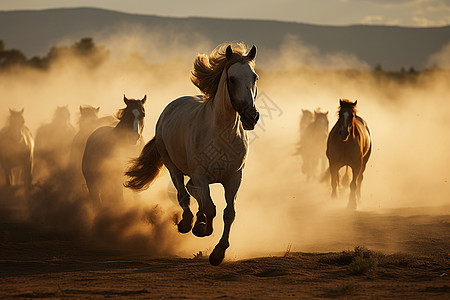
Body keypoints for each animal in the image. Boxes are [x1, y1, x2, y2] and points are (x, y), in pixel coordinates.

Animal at [126, 42, 260, 264]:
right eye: (232, 78)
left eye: (254, 77)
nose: (251, 117)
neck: (220, 135)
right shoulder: (201, 175)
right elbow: (210, 208)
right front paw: (202, 230)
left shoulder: (234, 177)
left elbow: (228, 213)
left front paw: (218, 252)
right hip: (173, 168)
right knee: (184, 194)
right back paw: (187, 223)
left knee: (192, 191)